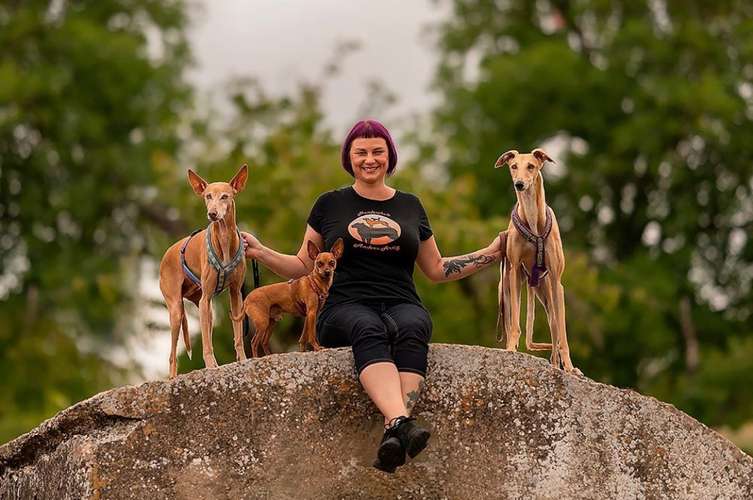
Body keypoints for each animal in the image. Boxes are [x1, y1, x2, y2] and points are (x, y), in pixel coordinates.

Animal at [157, 164, 248, 378]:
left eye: (225, 196)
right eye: (208, 196)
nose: (212, 214)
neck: (224, 239)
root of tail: (167, 254)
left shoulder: (235, 295)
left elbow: (238, 336)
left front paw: (243, 360)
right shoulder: (205, 299)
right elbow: (206, 343)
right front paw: (211, 366)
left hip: (206, 309)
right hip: (178, 310)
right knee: (172, 355)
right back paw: (172, 378)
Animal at [494, 148, 576, 372]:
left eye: (531, 166)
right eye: (514, 166)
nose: (519, 184)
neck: (531, 218)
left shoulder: (557, 280)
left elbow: (563, 336)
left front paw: (570, 367)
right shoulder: (513, 272)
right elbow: (515, 325)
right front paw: (511, 350)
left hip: (549, 294)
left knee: (555, 329)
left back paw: (557, 364)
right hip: (507, 289)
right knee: (512, 322)